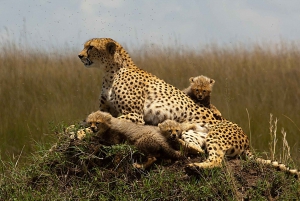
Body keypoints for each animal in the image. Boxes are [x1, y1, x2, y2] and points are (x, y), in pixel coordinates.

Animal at [78, 38, 300, 177]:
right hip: (193, 134)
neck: (111, 70)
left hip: (216, 134)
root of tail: (247, 142)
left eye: (90, 47)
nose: (80, 56)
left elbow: (101, 123)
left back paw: (194, 166)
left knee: (216, 159)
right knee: (195, 148)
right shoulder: (108, 110)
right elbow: (91, 119)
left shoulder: (133, 114)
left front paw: (80, 132)